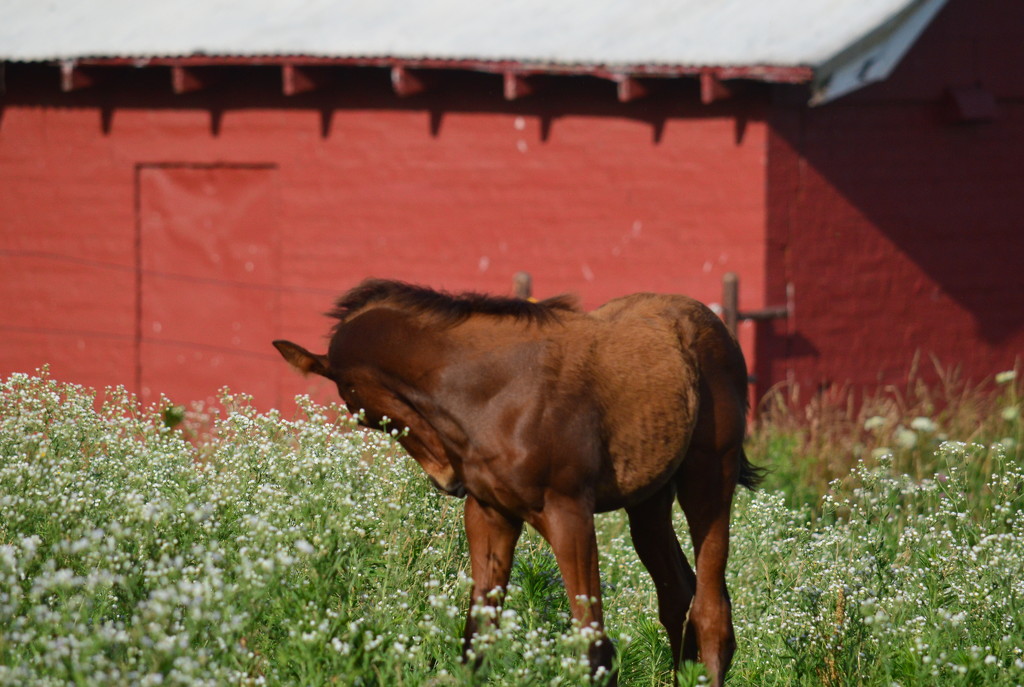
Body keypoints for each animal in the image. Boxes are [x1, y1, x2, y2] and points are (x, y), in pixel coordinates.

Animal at [272, 278, 761, 687]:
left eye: (368, 415)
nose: (447, 481)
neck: (494, 392)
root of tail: (714, 324)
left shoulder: (569, 512)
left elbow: (595, 649)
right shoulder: (490, 514)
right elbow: (476, 641)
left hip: (709, 479)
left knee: (712, 612)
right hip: (648, 500)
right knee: (677, 592)